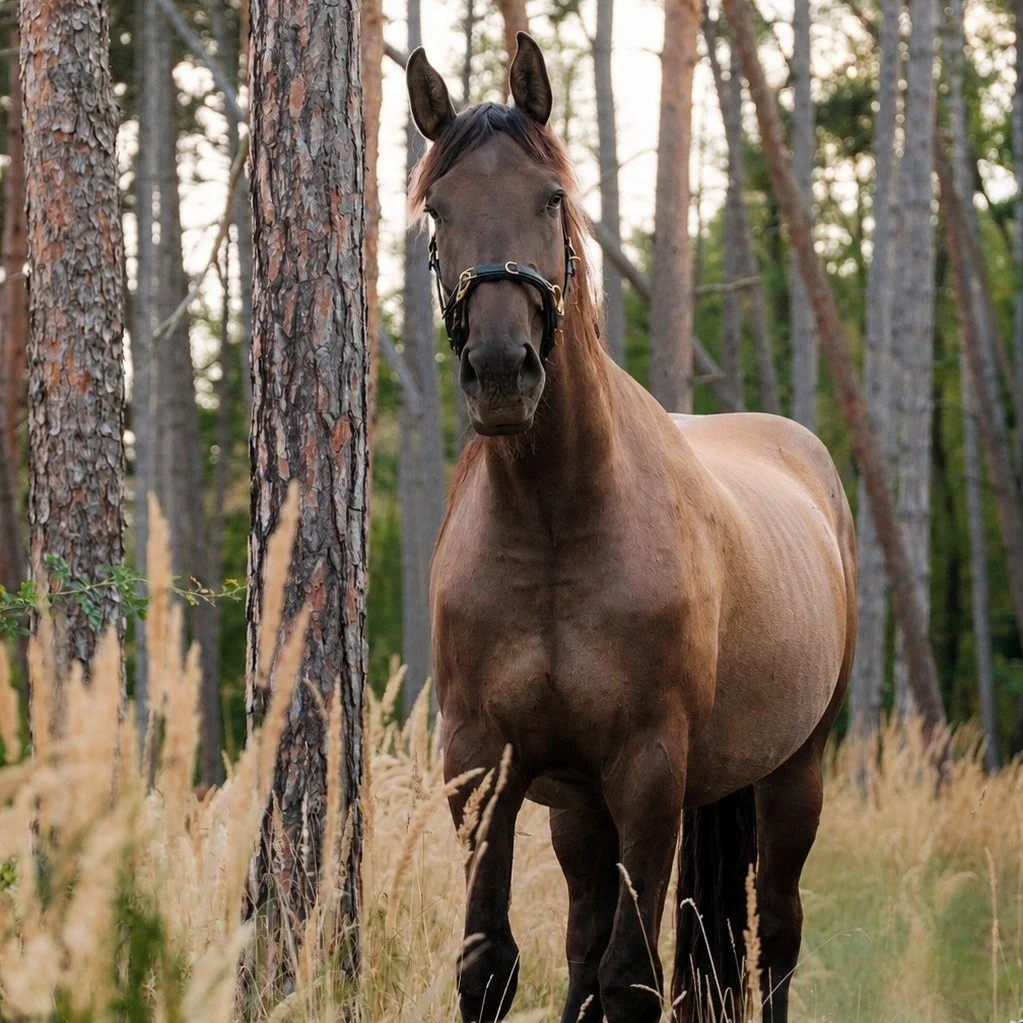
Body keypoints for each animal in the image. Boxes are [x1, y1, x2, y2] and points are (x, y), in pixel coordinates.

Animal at [407, 34, 857, 1023]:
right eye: (435, 211)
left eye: (551, 197)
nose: (501, 370)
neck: (554, 524)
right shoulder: (481, 768)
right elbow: (492, 964)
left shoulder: (650, 770)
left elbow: (631, 979)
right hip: (582, 807)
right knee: (588, 939)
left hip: (793, 772)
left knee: (777, 932)